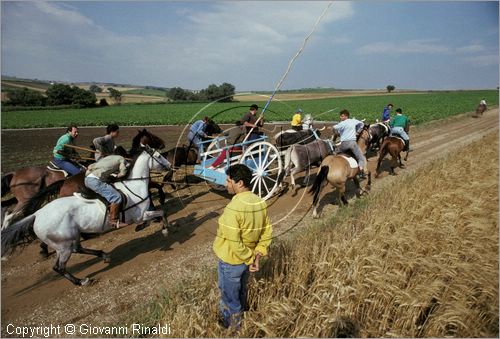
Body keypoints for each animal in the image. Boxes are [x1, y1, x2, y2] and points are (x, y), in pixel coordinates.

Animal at [0, 149, 171, 286]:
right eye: (159, 156)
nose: (169, 165)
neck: (133, 186)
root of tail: (37, 214)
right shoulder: (141, 215)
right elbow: (161, 213)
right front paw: (164, 230)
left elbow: (159, 213)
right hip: (63, 246)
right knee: (59, 267)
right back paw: (81, 281)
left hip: (68, 238)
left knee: (77, 248)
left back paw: (103, 255)